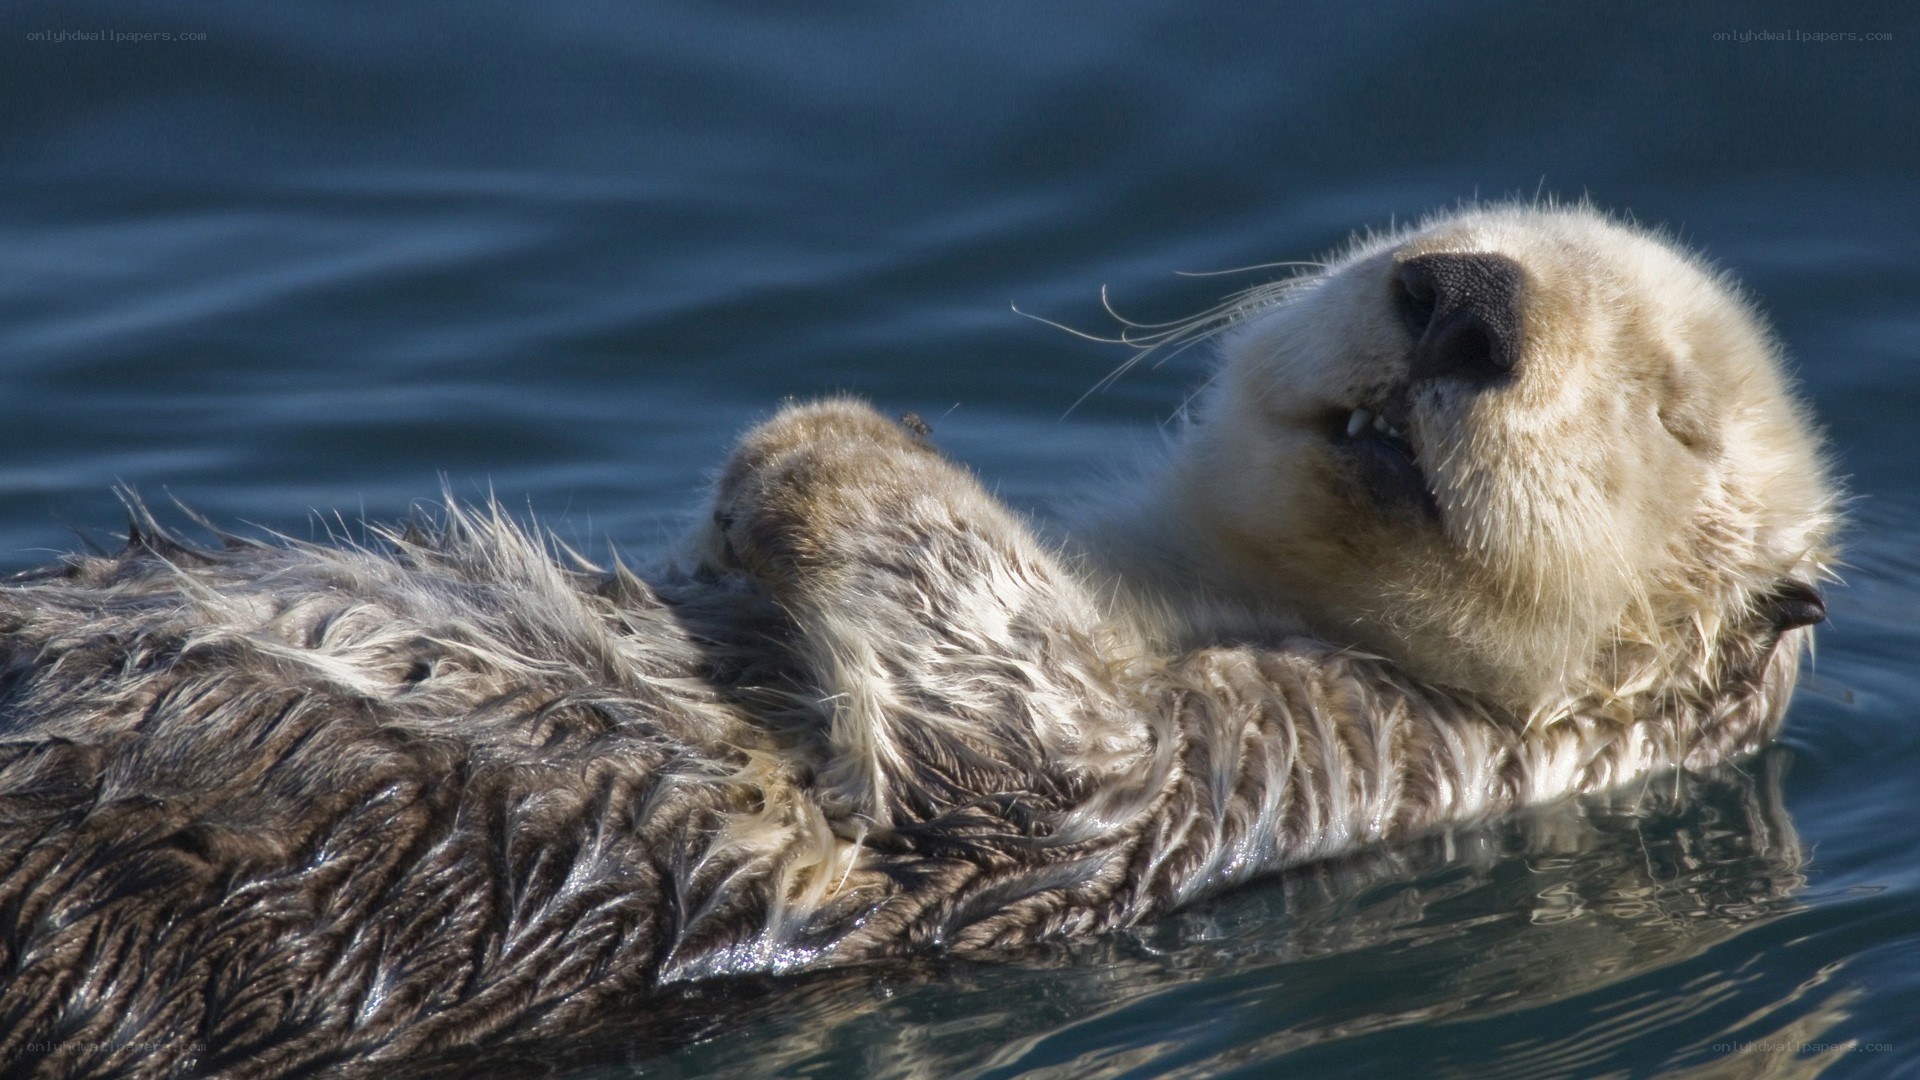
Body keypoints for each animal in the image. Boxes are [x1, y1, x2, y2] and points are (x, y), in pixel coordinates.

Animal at [0, 205, 1836, 1078]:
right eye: (1427, 245)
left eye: (1670, 414)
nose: (1465, 299)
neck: (1191, 584)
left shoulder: (1302, 763)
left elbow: (1028, 744)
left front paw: (825, 441)